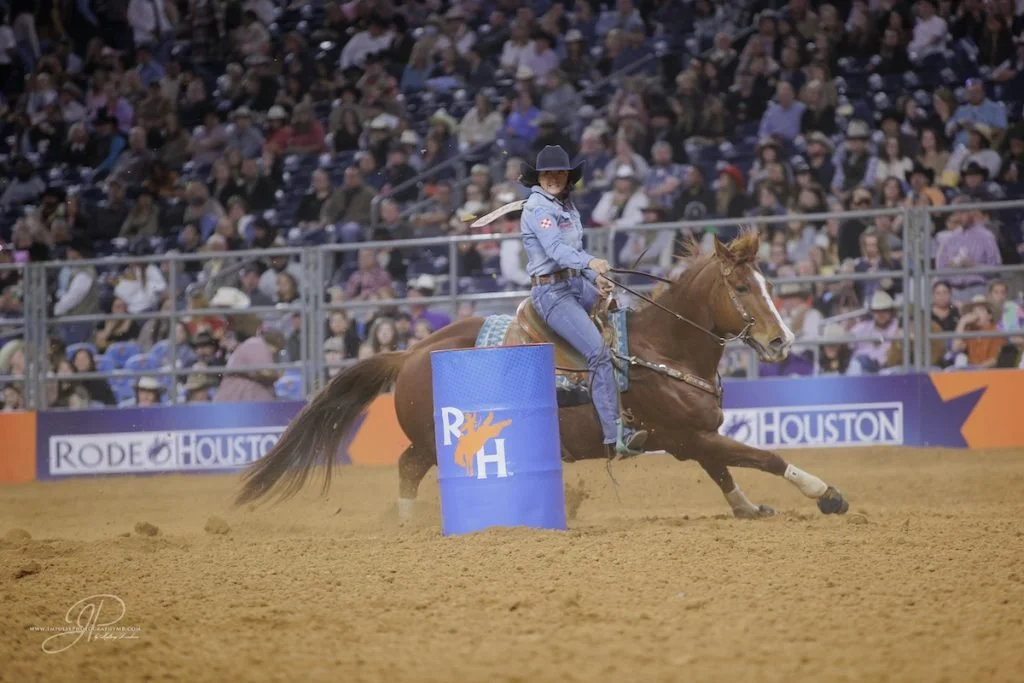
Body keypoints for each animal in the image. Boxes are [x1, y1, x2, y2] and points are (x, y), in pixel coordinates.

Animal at [236, 229, 849, 519]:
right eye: (742, 287)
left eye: (767, 282)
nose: (782, 341)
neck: (664, 348)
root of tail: (408, 353)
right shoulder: (685, 435)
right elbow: (760, 456)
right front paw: (826, 493)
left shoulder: (691, 438)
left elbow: (724, 470)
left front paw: (748, 507)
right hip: (435, 438)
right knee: (409, 466)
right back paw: (409, 523)